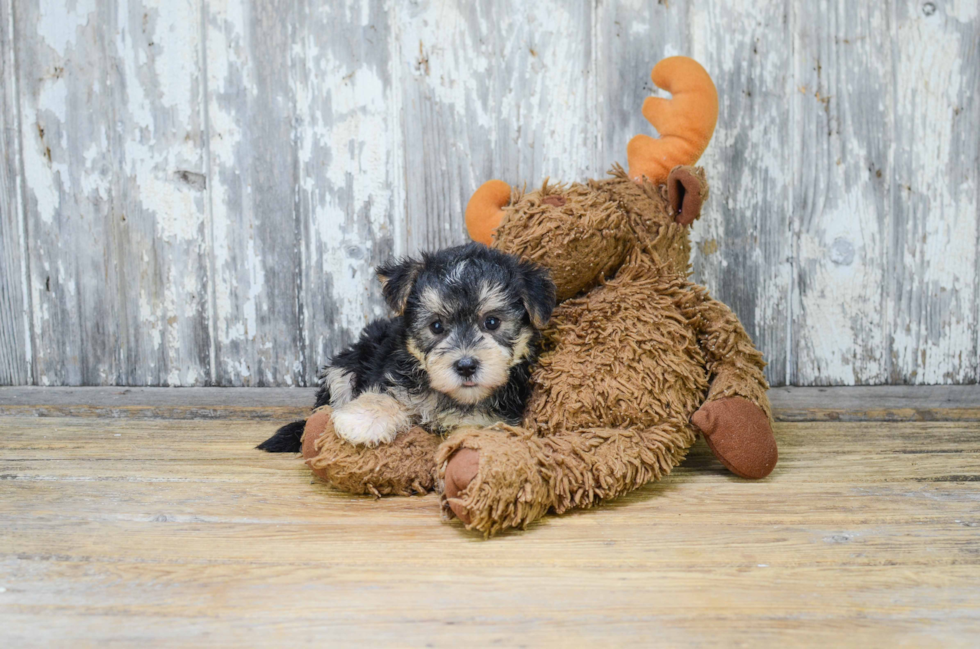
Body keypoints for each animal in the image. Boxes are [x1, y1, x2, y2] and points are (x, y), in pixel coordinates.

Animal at [256, 242, 556, 450]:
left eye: (492, 322)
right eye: (436, 326)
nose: (466, 366)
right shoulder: (392, 378)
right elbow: (384, 395)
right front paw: (361, 421)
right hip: (344, 367)